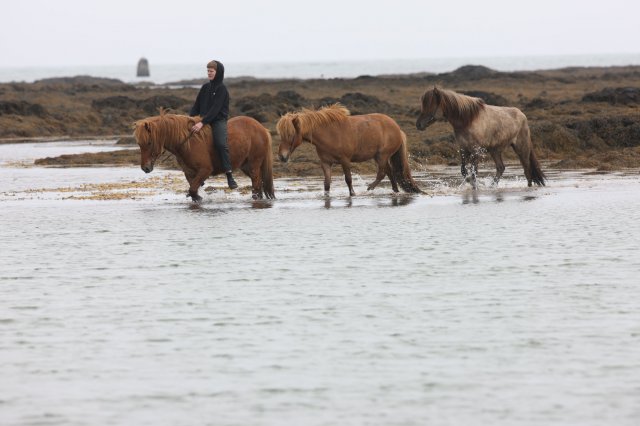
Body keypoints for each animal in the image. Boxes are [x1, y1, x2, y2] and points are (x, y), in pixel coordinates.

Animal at [134, 111, 274, 201]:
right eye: (139, 144)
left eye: (149, 142)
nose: (145, 168)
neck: (188, 142)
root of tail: (262, 128)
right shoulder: (189, 173)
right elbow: (193, 190)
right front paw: (197, 197)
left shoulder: (205, 170)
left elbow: (192, 190)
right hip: (245, 166)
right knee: (259, 183)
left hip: (254, 164)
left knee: (256, 183)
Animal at [278, 103, 422, 196]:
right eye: (281, 134)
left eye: (290, 135)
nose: (282, 157)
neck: (329, 133)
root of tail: (398, 129)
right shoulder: (326, 163)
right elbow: (327, 183)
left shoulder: (345, 160)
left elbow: (348, 179)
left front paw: (353, 194)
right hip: (379, 157)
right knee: (389, 173)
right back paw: (395, 191)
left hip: (382, 156)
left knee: (382, 173)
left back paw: (369, 189)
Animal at [418, 86, 548, 186]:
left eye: (430, 105)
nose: (418, 124)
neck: (468, 121)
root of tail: (522, 115)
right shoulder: (463, 149)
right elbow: (464, 171)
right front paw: (470, 183)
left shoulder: (476, 151)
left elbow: (474, 172)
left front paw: (474, 187)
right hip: (495, 150)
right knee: (501, 168)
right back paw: (492, 186)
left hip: (521, 148)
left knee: (527, 171)